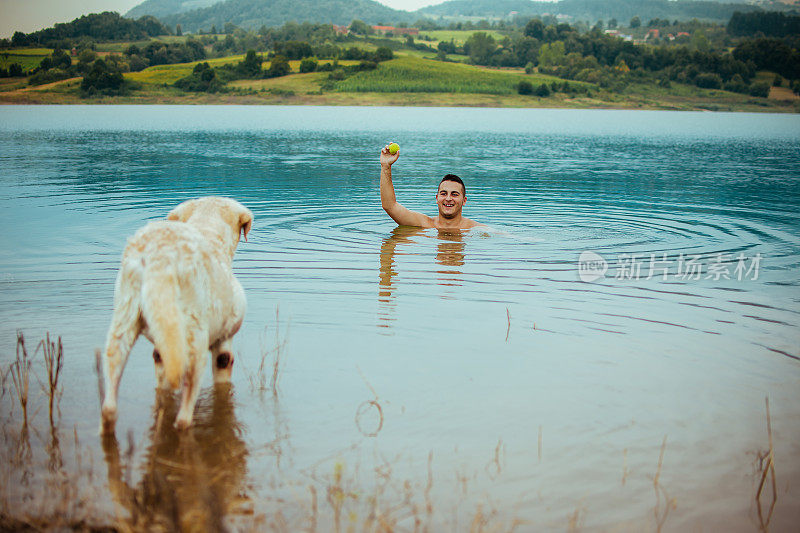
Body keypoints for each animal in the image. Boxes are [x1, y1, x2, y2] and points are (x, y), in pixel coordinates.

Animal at [99, 195, 252, 432]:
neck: (207, 229)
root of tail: (160, 256)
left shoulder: (164, 348)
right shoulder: (224, 343)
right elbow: (223, 373)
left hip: (124, 321)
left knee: (109, 406)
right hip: (194, 341)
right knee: (183, 417)